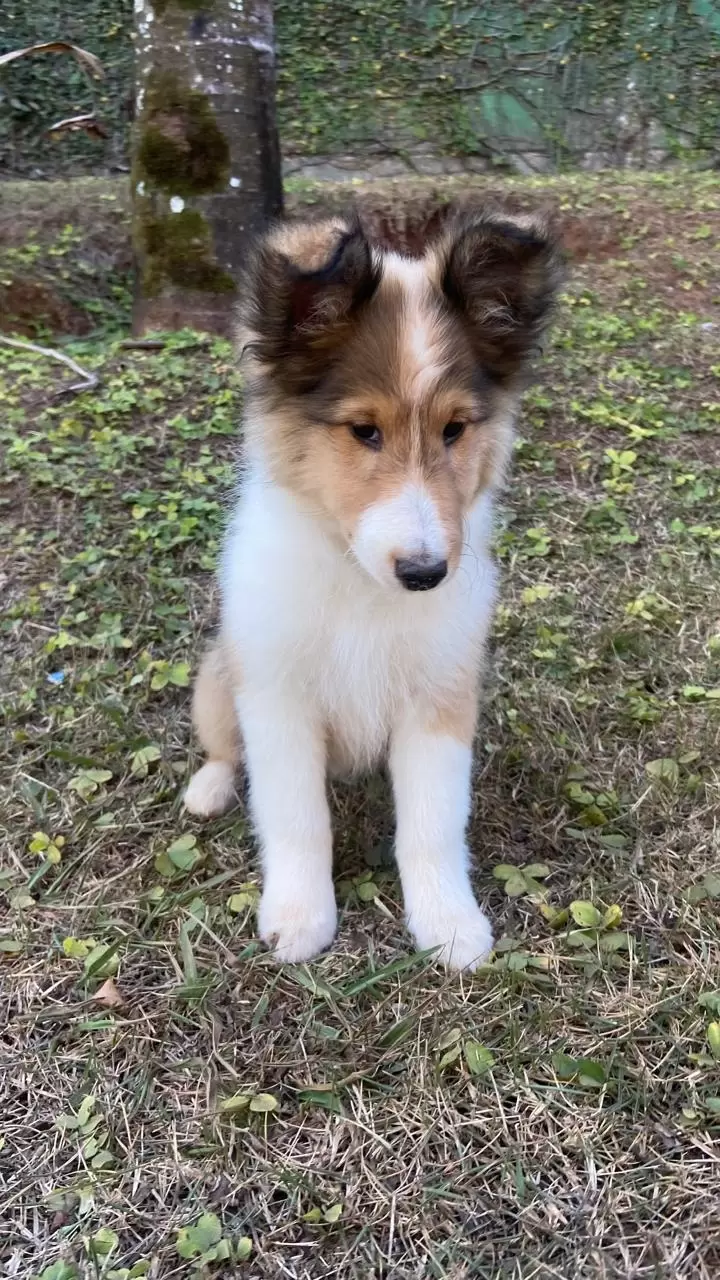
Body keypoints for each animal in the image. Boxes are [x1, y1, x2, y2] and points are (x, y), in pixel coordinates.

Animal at [180, 209, 561, 967]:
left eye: (455, 429)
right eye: (363, 431)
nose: (425, 574)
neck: (360, 584)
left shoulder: (440, 696)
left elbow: (434, 823)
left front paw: (448, 922)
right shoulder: (278, 698)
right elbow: (296, 818)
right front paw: (300, 917)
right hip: (219, 674)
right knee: (224, 747)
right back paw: (209, 786)